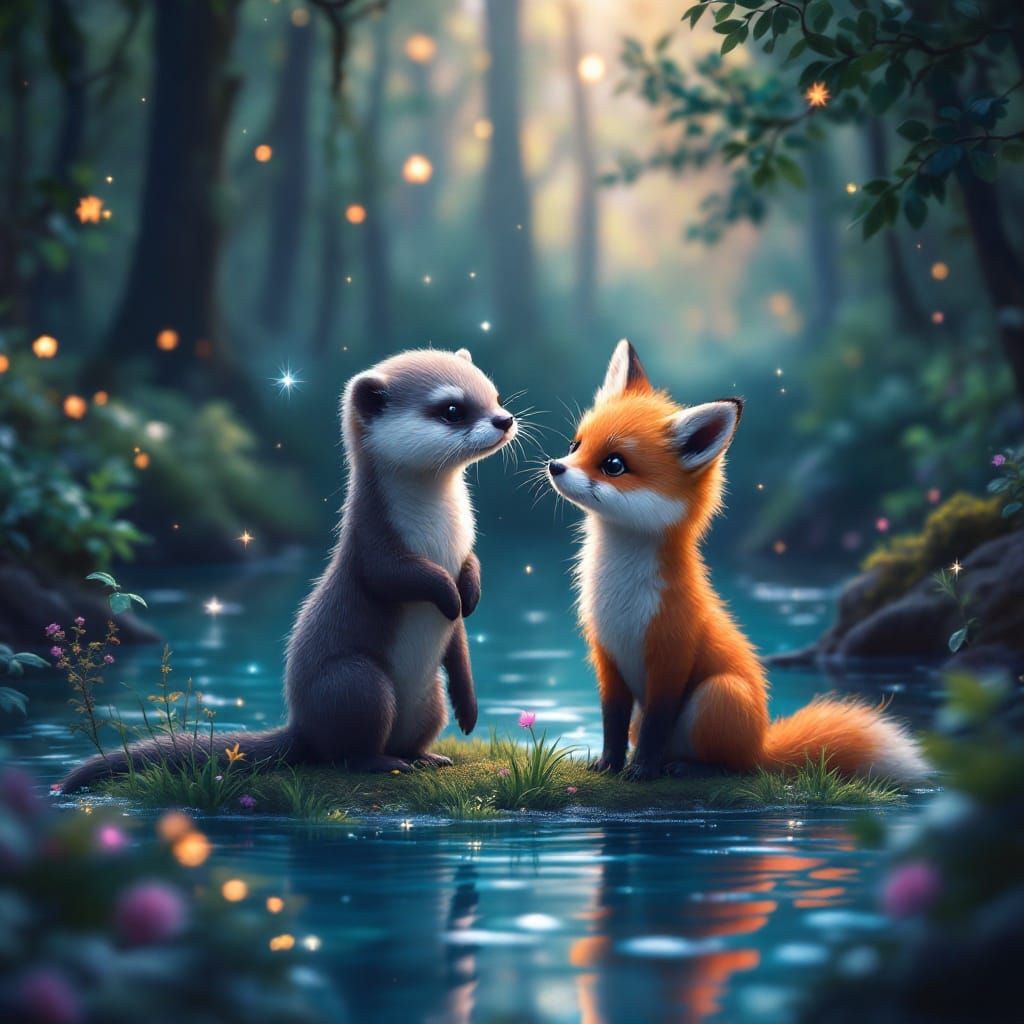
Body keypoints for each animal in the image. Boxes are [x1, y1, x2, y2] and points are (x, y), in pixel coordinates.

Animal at [61, 348, 516, 790]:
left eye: (495, 395)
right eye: (452, 409)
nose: (505, 419)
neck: (441, 539)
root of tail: (301, 726)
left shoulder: (463, 552)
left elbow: (464, 618)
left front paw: (470, 605)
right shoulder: (374, 546)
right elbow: (396, 576)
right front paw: (449, 594)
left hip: (429, 698)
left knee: (410, 736)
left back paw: (427, 757)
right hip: (356, 681)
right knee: (349, 751)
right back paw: (387, 763)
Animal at [546, 339, 928, 784]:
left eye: (613, 464)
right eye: (575, 446)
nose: (555, 466)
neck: (620, 597)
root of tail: (762, 743)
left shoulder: (671, 659)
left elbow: (657, 724)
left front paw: (641, 770)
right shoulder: (607, 657)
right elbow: (611, 722)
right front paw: (608, 764)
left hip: (717, 695)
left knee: (733, 767)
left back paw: (688, 768)